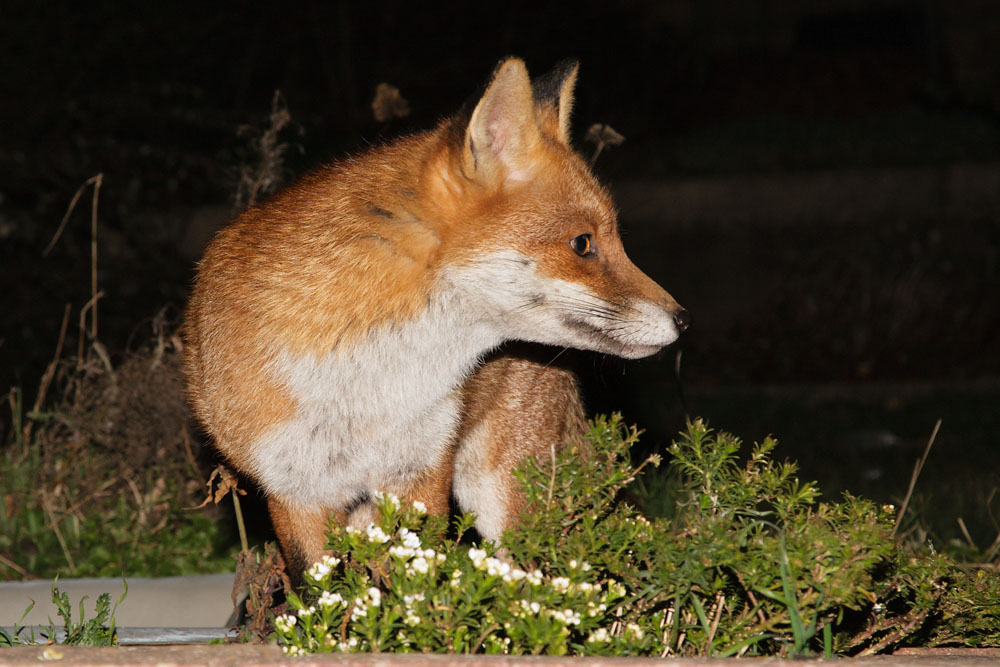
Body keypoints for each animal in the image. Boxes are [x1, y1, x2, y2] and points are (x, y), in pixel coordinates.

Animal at [184, 57, 689, 577]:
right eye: (583, 244)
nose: (682, 319)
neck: (369, 385)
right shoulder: (296, 491)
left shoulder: (421, 471)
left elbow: (419, 585)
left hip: (505, 499)